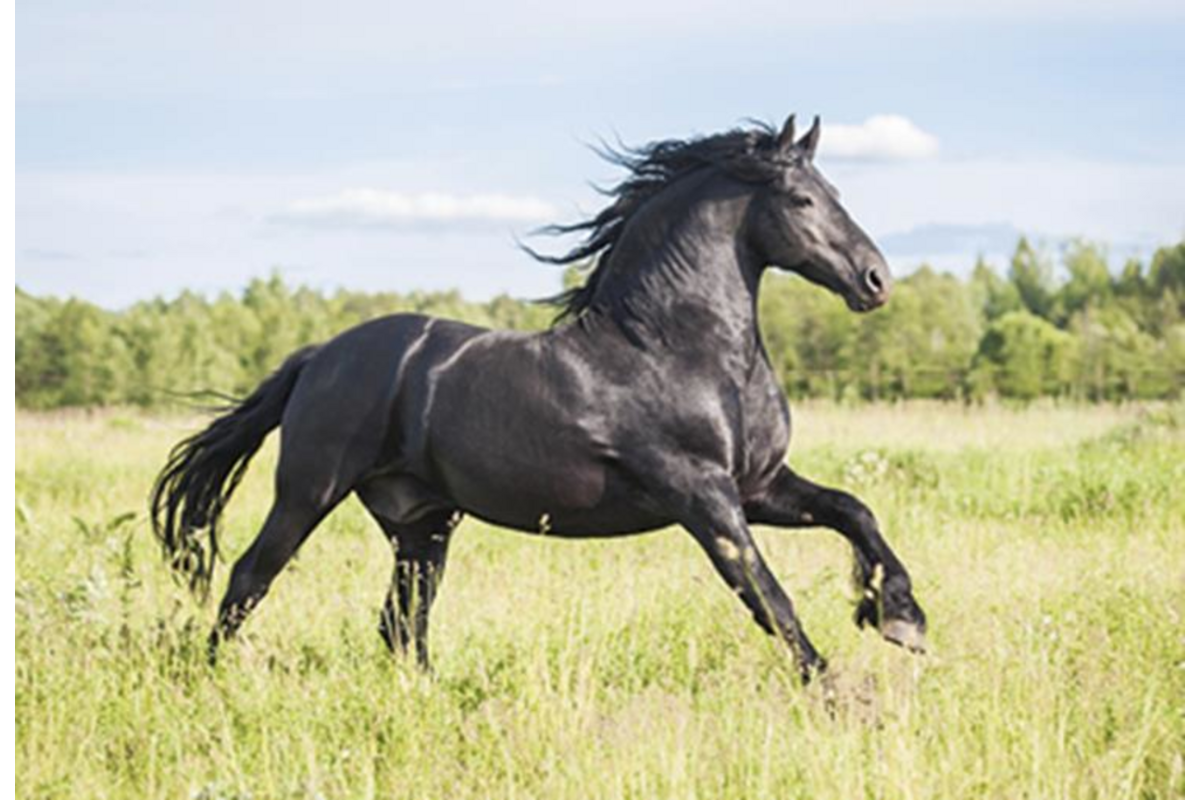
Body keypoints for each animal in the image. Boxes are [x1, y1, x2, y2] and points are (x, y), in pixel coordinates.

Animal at [150, 114, 926, 682]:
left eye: (837, 192)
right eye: (802, 199)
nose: (877, 280)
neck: (677, 350)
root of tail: (318, 358)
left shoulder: (759, 485)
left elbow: (854, 512)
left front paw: (900, 619)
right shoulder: (702, 495)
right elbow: (768, 596)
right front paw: (836, 692)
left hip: (420, 522)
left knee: (401, 622)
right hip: (309, 492)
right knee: (249, 578)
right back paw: (205, 679)